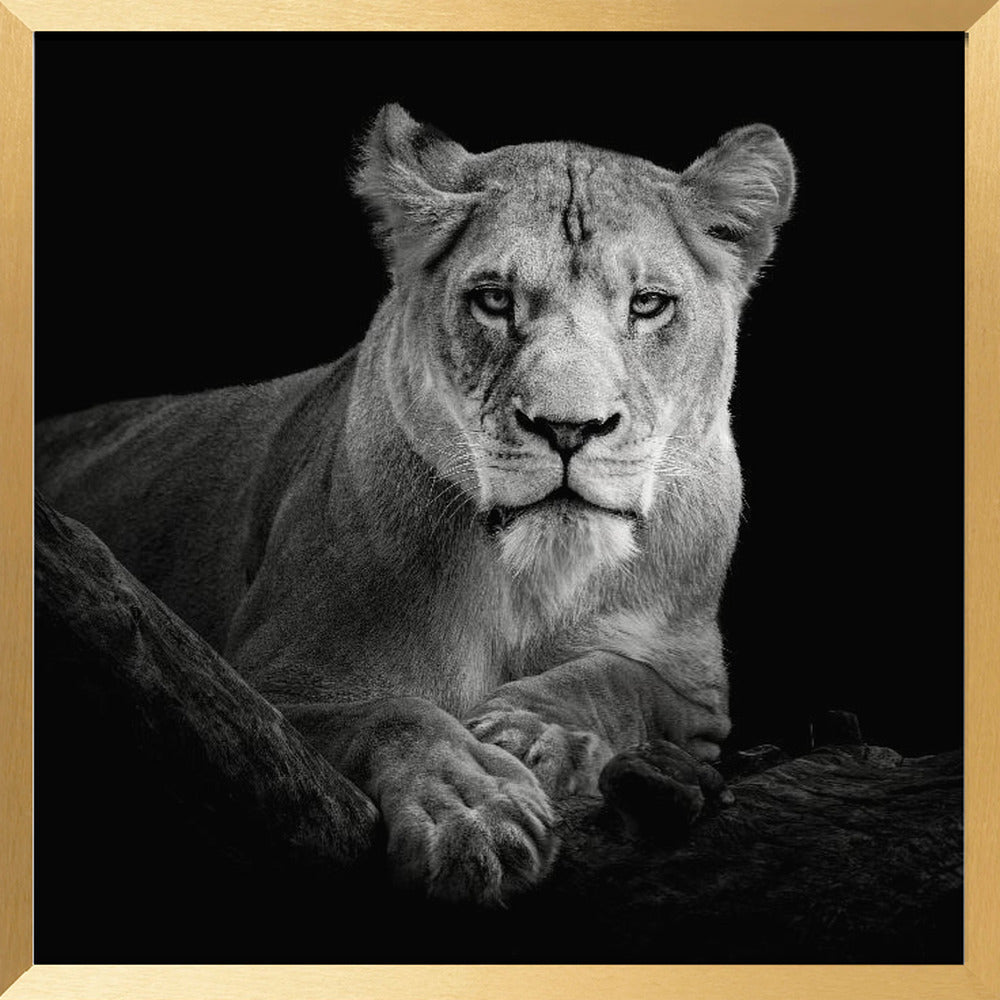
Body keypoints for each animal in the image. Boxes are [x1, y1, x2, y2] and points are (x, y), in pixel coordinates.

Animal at [36, 104, 795, 904]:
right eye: (494, 299)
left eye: (648, 305)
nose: (567, 428)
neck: (534, 581)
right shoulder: (257, 695)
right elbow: (395, 713)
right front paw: (473, 811)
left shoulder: (697, 692)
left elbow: (621, 679)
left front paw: (535, 734)